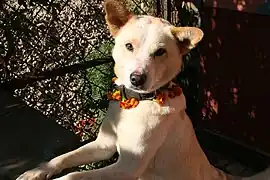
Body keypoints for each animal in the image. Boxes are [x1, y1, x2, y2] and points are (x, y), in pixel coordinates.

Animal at [16, 0, 270, 180]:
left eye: (160, 52)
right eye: (129, 46)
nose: (136, 79)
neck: (137, 104)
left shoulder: (128, 166)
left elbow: (74, 176)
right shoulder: (104, 146)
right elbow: (63, 158)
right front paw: (37, 171)